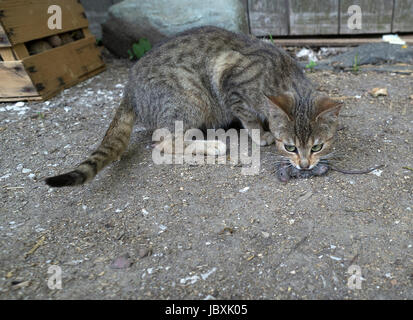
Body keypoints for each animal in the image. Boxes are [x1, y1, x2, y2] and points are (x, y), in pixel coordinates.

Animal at [45, 26, 342, 188]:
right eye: (290, 147)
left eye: (318, 146)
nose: (304, 165)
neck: (282, 76)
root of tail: (130, 88)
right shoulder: (231, 83)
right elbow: (249, 117)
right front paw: (261, 133)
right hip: (190, 97)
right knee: (165, 142)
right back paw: (211, 145)